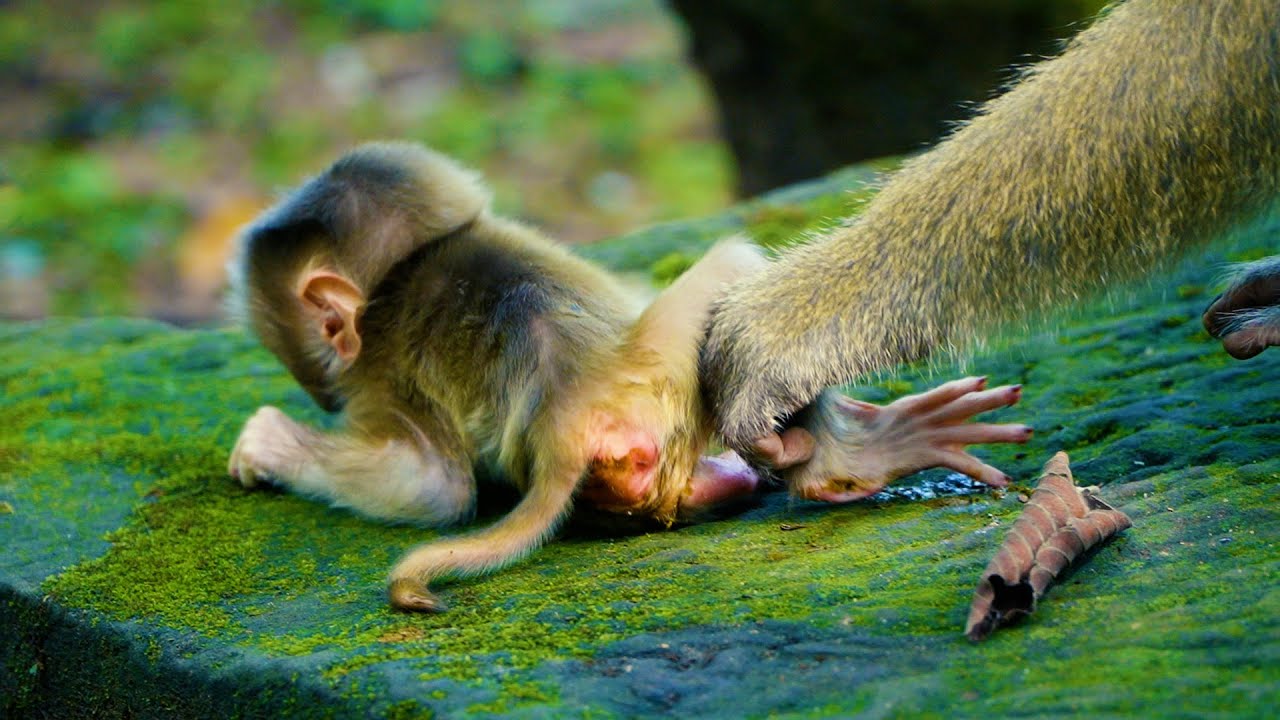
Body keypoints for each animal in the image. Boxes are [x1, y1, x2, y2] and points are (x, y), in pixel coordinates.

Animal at [227, 142, 1031, 612]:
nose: (317, 389)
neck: (405, 268)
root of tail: (569, 413)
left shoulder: (378, 376)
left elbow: (434, 489)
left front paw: (267, 442)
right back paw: (848, 458)